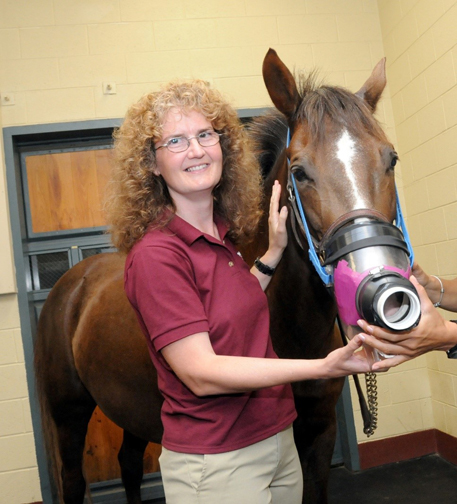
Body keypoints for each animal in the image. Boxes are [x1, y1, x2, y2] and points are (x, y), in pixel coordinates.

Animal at [33, 48, 394, 504]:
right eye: (300, 171)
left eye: (391, 159)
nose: (380, 278)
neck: (290, 328)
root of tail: (73, 283)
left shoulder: (318, 435)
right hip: (69, 414)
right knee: (74, 480)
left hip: (131, 410)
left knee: (129, 464)